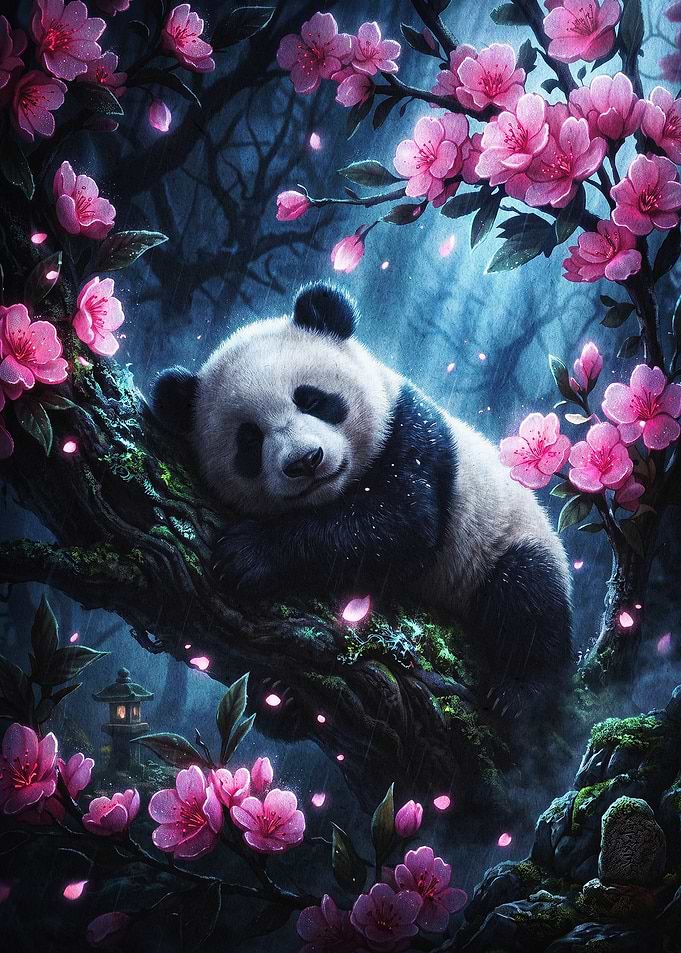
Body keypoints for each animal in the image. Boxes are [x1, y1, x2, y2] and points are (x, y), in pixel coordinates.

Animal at [151, 282, 572, 714]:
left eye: (311, 400)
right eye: (250, 440)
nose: (306, 461)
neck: (337, 492)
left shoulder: (411, 433)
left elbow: (400, 525)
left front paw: (247, 552)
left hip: (510, 536)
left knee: (526, 596)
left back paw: (519, 690)